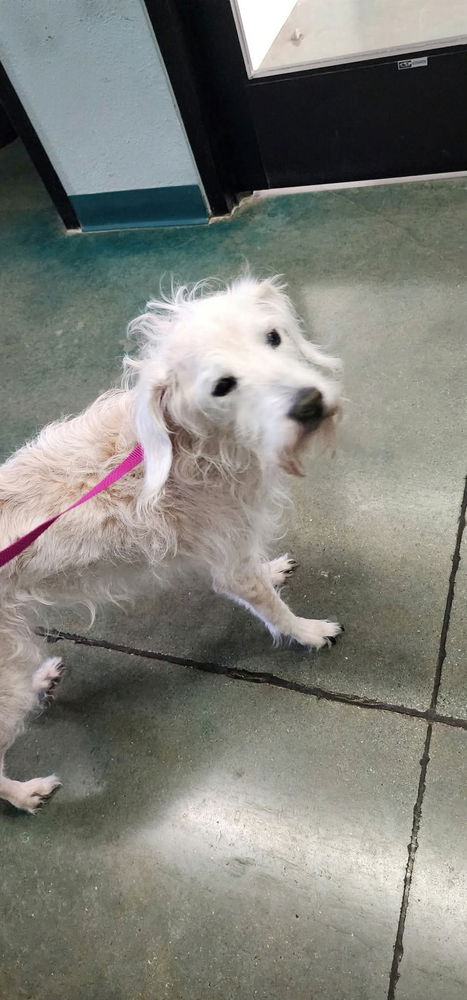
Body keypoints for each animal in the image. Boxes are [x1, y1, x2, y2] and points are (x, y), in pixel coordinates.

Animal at [0, 276, 343, 814]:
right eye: (222, 386)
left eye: (273, 337)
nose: (309, 403)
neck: (194, 448)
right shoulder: (231, 569)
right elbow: (274, 609)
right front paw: (308, 632)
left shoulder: (236, 545)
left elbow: (261, 573)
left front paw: (274, 571)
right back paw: (24, 793)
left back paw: (41, 681)